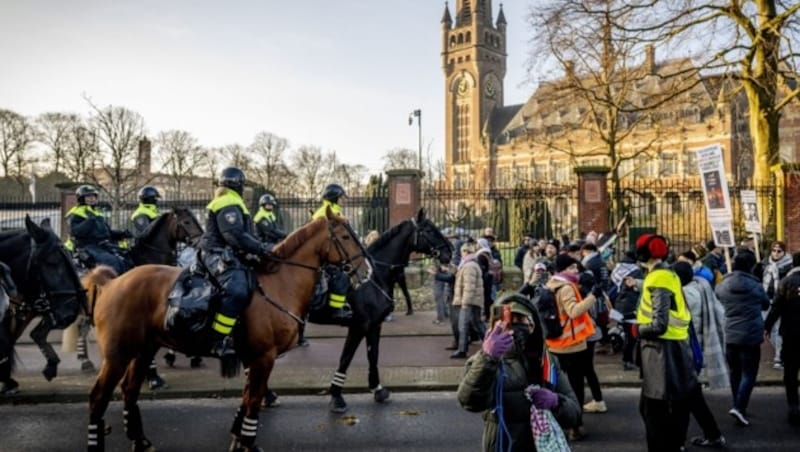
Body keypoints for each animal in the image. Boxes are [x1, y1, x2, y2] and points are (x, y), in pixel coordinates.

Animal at [83, 211, 370, 452]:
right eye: (346, 236)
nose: (367, 271)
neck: (280, 284)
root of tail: (112, 283)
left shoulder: (254, 358)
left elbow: (246, 397)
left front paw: (238, 436)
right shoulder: (264, 357)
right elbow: (254, 400)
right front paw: (249, 443)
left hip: (143, 350)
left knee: (129, 390)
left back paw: (140, 440)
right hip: (117, 355)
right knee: (98, 397)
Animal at [324, 208, 450, 414]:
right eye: (429, 230)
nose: (450, 251)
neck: (373, 276)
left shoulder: (374, 325)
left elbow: (373, 355)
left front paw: (377, 389)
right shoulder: (358, 326)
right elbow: (346, 358)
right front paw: (336, 396)